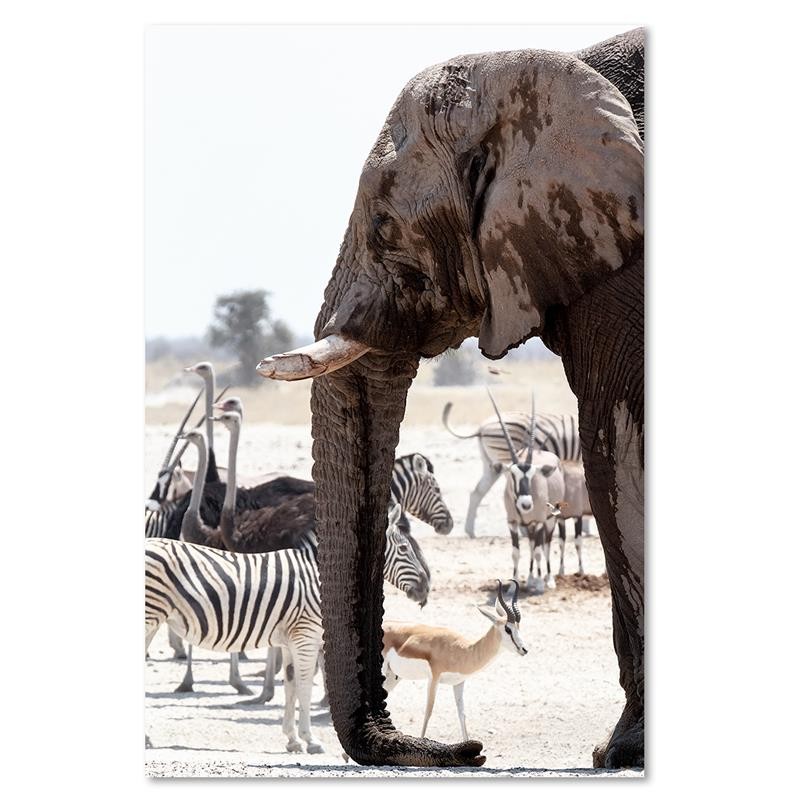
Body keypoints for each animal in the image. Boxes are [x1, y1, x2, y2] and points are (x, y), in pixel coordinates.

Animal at [147, 536, 324, 752]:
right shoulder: (306, 634)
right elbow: (304, 687)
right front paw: (311, 739)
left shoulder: (291, 640)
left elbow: (291, 686)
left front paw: (293, 739)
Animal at [444, 400, 588, 536]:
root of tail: (481, 428)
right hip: (505, 460)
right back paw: (523, 530)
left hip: (491, 465)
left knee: (477, 492)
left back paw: (470, 531)